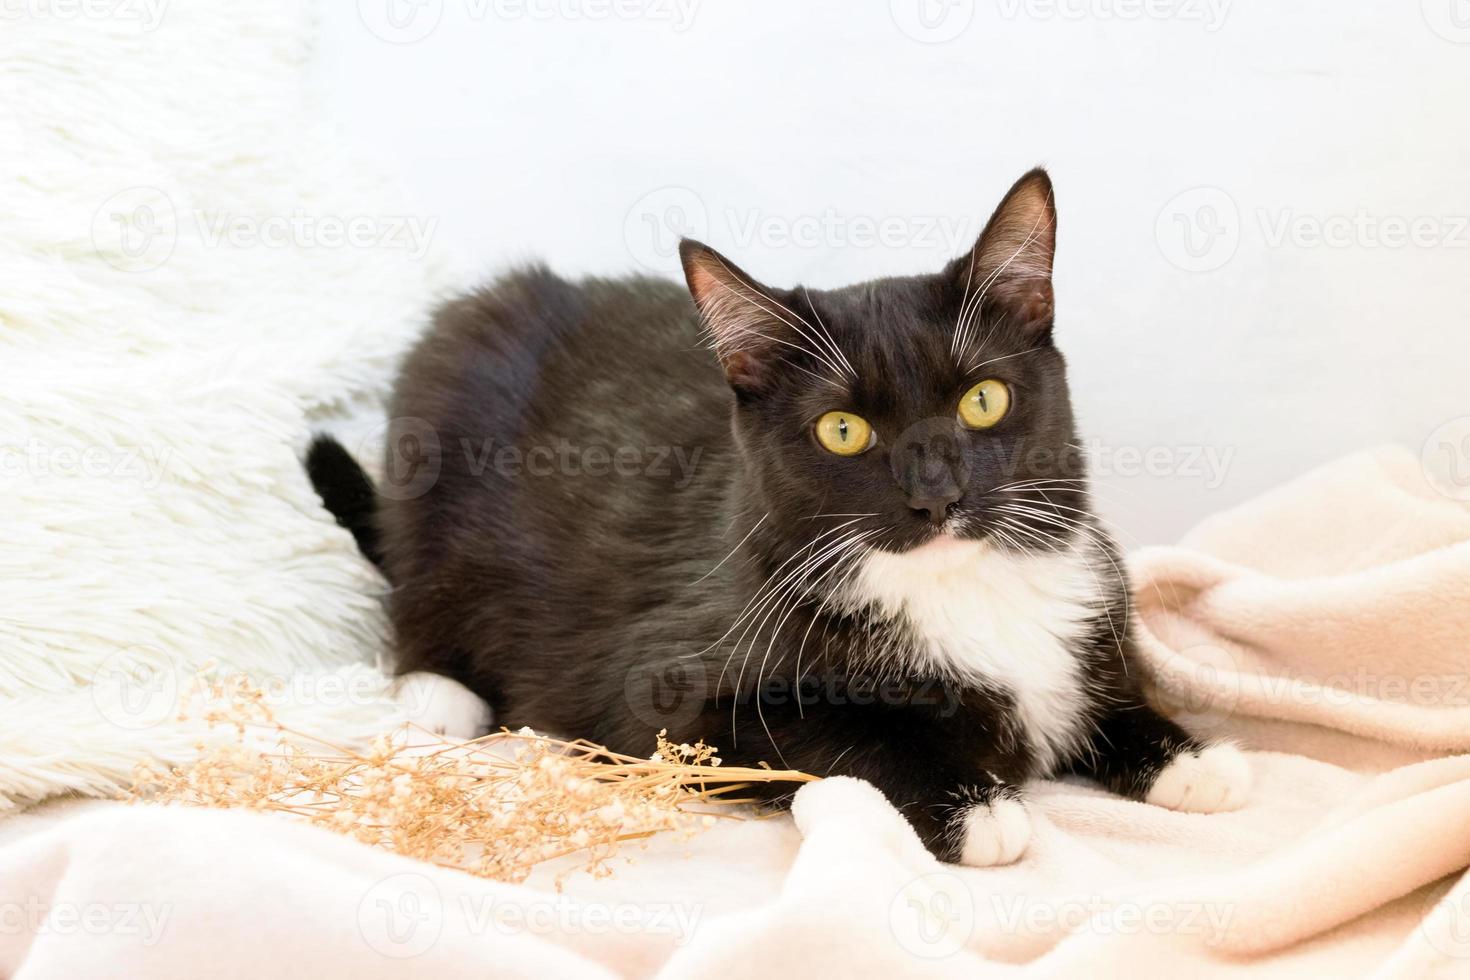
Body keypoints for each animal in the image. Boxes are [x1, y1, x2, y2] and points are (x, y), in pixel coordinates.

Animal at [310, 168, 1252, 863]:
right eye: (843, 429)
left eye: (983, 400)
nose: (937, 494)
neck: (957, 587)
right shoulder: (665, 700)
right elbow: (841, 733)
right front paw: (971, 807)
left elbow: (1108, 696)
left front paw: (1189, 756)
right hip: (440, 401)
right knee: (415, 582)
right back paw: (440, 692)